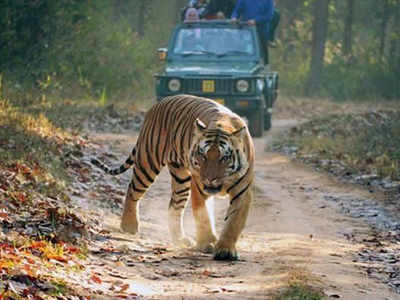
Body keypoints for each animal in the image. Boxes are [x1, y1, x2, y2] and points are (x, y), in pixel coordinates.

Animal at [91, 94, 255, 260]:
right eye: (203, 155)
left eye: (224, 158)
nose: (209, 179)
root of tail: (158, 104)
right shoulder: (198, 187)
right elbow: (203, 216)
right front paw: (206, 242)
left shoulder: (242, 193)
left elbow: (233, 222)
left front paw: (225, 250)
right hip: (148, 162)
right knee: (133, 190)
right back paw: (129, 226)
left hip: (181, 179)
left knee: (174, 206)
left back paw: (180, 238)